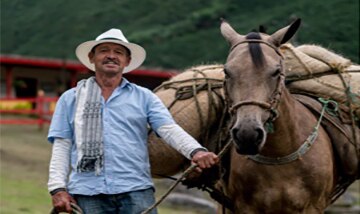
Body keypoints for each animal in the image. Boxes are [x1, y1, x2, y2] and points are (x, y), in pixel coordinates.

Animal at [219, 19, 338, 213]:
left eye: (276, 72)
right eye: (226, 72)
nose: (247, 135)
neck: (279, 154)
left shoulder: (313, 206)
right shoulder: (245, 207)